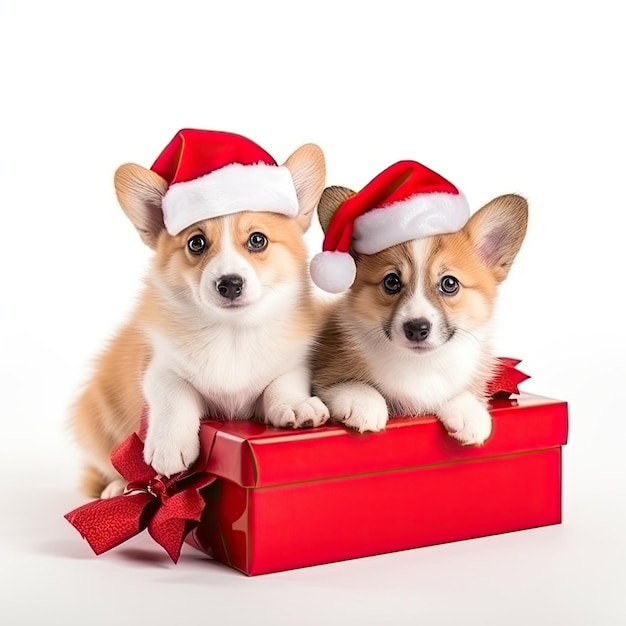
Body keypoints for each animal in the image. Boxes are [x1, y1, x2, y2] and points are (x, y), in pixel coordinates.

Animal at [70, 129, 330, 494]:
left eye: (258, 240)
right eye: (196, 243)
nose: (230, 284)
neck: (232, 333)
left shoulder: (294, 360)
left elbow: (283, 381)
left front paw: (295, 405)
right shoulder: (158, 364)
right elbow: (173, 391)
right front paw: (169, 446)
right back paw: (117, 486)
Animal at [310, 161, 524, 444]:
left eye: (449, 283)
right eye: (391, 281)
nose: (416, 329)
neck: (421, 364)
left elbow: (464, 392)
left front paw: (471, 414)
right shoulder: (325, 371)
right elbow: (347, 384)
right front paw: (364, 403)